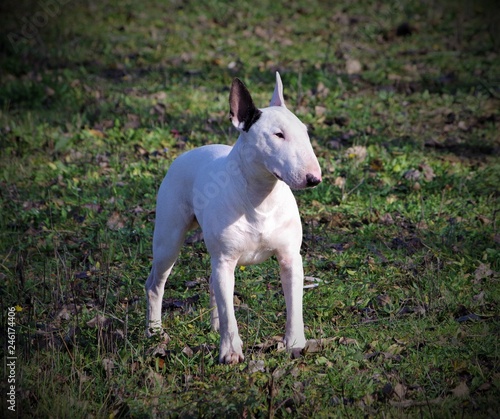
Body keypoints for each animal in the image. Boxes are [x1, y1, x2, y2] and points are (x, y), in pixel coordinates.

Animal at [146, 73, 322, 364]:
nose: (314, 178)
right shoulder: (226, 260)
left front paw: (296, 344)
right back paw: (154, 332)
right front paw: (230, 352)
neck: (261, 198)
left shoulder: (290, 258)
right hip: (168, 240)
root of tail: (189, 152)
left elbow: (294, 305)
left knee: (212, 285)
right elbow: (230, 313)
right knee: (155, 284)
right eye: (278, 135)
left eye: (305, 132)